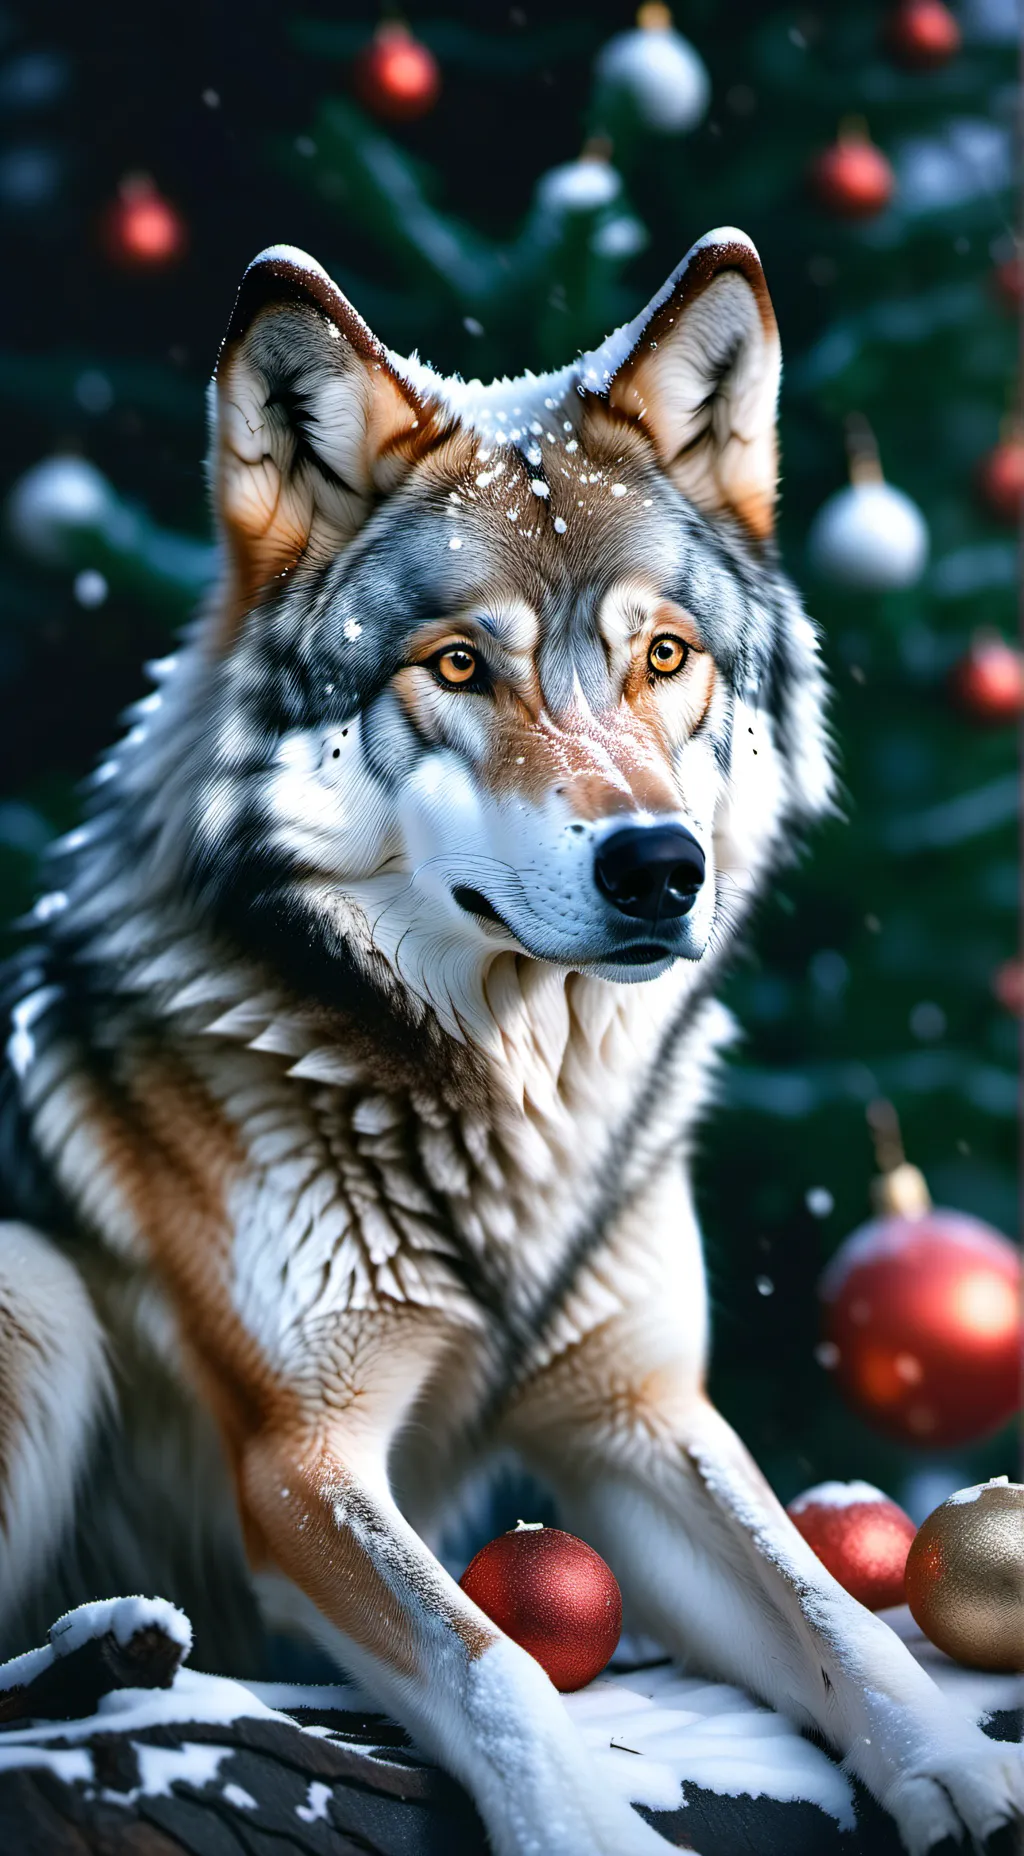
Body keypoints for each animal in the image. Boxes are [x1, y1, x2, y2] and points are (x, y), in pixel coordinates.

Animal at [0, 229, 1017, 1855]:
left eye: (663, 654)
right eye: (462, 667)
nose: (661, 867)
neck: (516, 1110)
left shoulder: (636, 1415)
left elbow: (831, 1606)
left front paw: (956, 1771)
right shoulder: (299, 1461)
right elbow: (497, 1662)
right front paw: (589, 1830)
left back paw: (120, 1643)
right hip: (33, 1285)